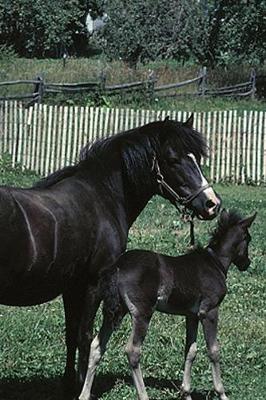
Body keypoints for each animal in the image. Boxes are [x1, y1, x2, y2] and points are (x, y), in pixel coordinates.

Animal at [78, 209, 256, 400]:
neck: (215, 262)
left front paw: (186, 392)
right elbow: (213, 350)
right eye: (248, 239)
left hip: (115, 311)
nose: (246, 263)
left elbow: (190, 351)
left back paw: (84, 394)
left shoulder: (191, 315)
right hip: (142, 313)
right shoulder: (209, 311)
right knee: (133, 350)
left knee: (96, 346)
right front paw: (221, 393)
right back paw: (143, 395)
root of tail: (117, 265)